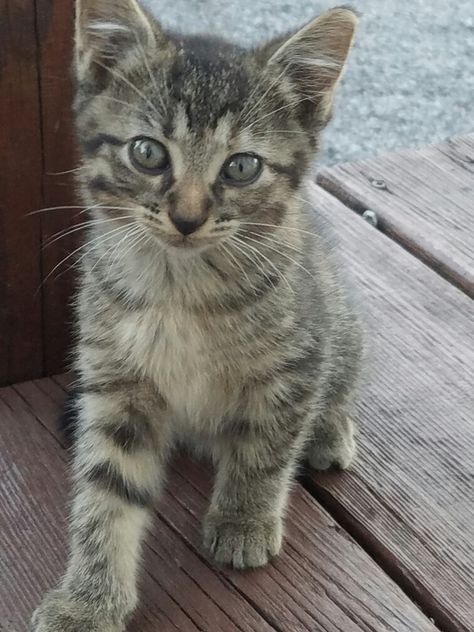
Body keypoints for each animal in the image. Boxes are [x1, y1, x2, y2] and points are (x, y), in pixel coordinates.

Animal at [32, 1, 362, 632]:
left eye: (241, 166)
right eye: (147, 152)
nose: (187, 218)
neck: (178, 288)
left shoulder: (294, 364)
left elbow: (266, 448)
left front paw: (243, 519)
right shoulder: (117, 382)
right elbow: (106, 491)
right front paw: (88, 599)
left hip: (342, 321)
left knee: (338, 383)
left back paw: (329, 429)